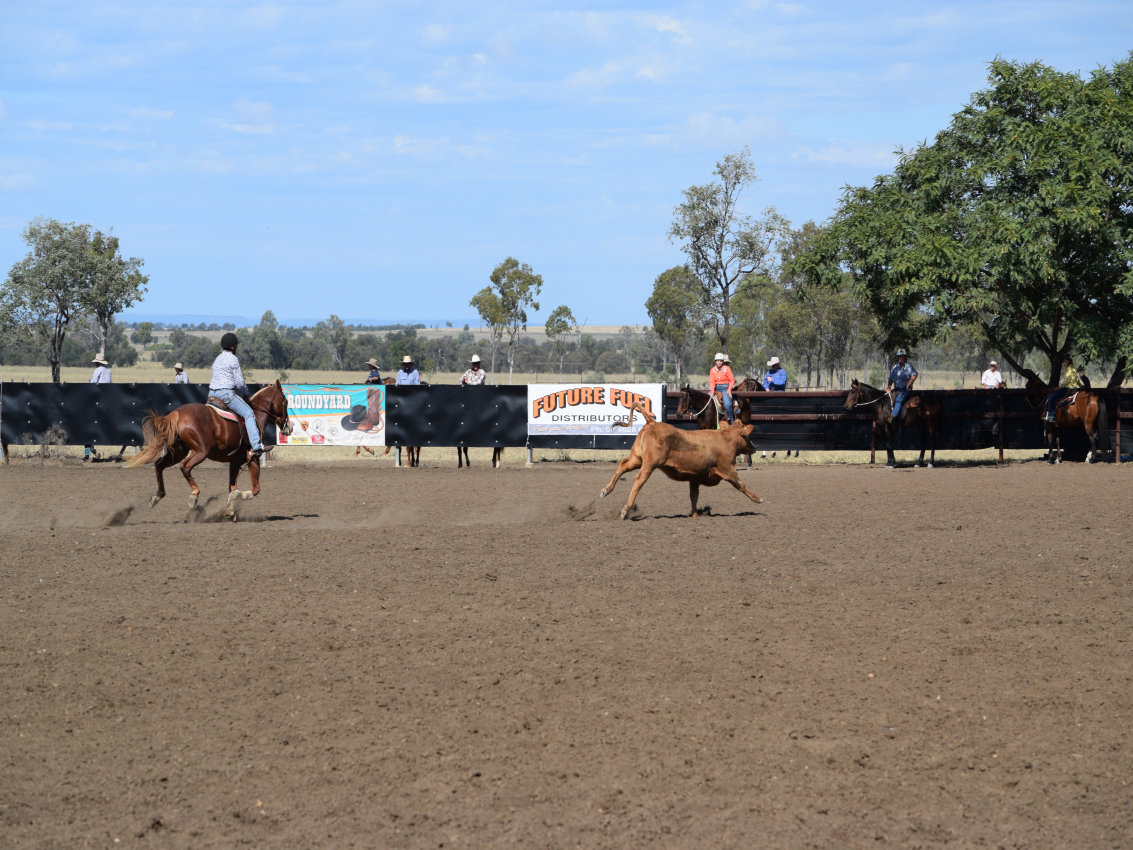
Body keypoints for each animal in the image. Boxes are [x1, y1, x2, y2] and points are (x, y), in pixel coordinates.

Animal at [127, 381, 292, 515]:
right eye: (285, 402)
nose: (289, 428)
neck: (256, 416)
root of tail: (177, 413)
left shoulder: (235, 462)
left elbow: (232, 487)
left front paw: (230, 510)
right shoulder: (253, 458)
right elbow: (256, 489)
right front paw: (240, 497)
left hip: (179, 452)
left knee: (159, 465)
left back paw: (157, 496)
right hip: (200, 452)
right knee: (185, 467)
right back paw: (194, 495)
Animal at [600, 402, 763, 519]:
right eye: (747, 435)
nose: (754, 448)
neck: (725, 440)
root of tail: (653, 422)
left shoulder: (695, 477)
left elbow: (694, 496)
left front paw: (695, 515)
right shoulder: (728, 470)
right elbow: (740, 485)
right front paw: (758, 499)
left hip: (637, 458)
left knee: (623, 464)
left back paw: (606, 490)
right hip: (650, 463)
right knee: (639, 480)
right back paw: (626, 509)